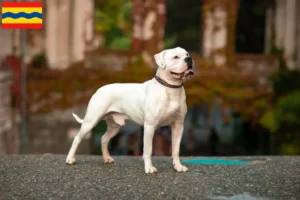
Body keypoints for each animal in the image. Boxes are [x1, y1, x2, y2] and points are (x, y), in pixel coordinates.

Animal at [66, 47, 195, 173]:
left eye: (187, 54)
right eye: (175, 57)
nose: (189, 59)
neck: (171, 88)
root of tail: (99, 89)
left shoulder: (178, 126)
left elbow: (176, 149)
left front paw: (178, 166)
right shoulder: (150, 126)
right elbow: (148, 150)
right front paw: (149, 168)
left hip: (114, 127)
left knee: (104, 139)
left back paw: (107, 158)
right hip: (90, 121)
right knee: (77, 138)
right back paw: (70, 159)